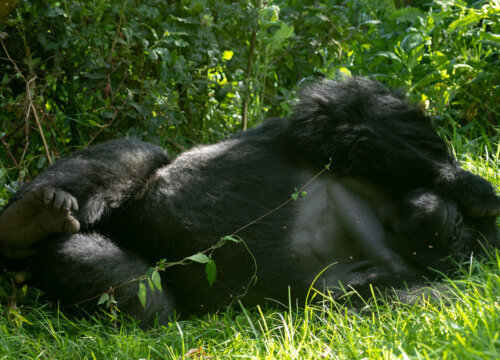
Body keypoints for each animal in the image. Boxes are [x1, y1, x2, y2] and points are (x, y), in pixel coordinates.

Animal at [0, 77, 498, 324]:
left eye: (463, 241)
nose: (454, 228)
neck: (390, 218)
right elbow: (353, 112)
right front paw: (470, 189)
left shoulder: (399, 281)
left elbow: (431, 299)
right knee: (136, 158)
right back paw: (25, 220)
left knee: (139, 295)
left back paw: (35, 245)